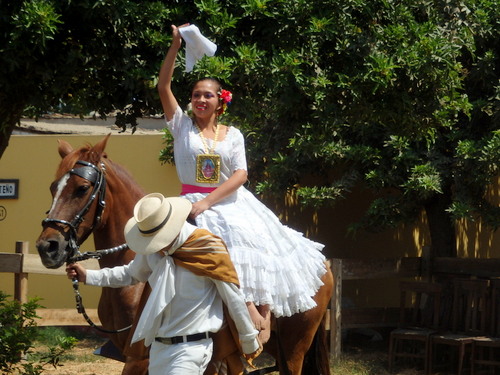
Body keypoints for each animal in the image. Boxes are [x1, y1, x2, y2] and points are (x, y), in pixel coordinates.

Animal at [34, 136, 332, 375]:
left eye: (82, 188)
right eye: (52, 187)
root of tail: (324, 265)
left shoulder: (139, 358)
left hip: (294, 349)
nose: (48, 246)